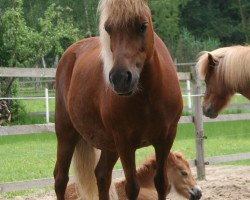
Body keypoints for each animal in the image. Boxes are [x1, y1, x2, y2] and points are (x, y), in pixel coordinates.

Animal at [53, 0, 182, 199]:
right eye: (108, 28)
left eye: (142, 26)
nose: (120, 78)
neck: (148, 97)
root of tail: (70, 54)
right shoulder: (125, 143)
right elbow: (132, 187)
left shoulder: (165, 139)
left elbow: (162, 183)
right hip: (66, 133)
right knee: (60, 178)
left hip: (109, 145)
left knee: (102, 175)